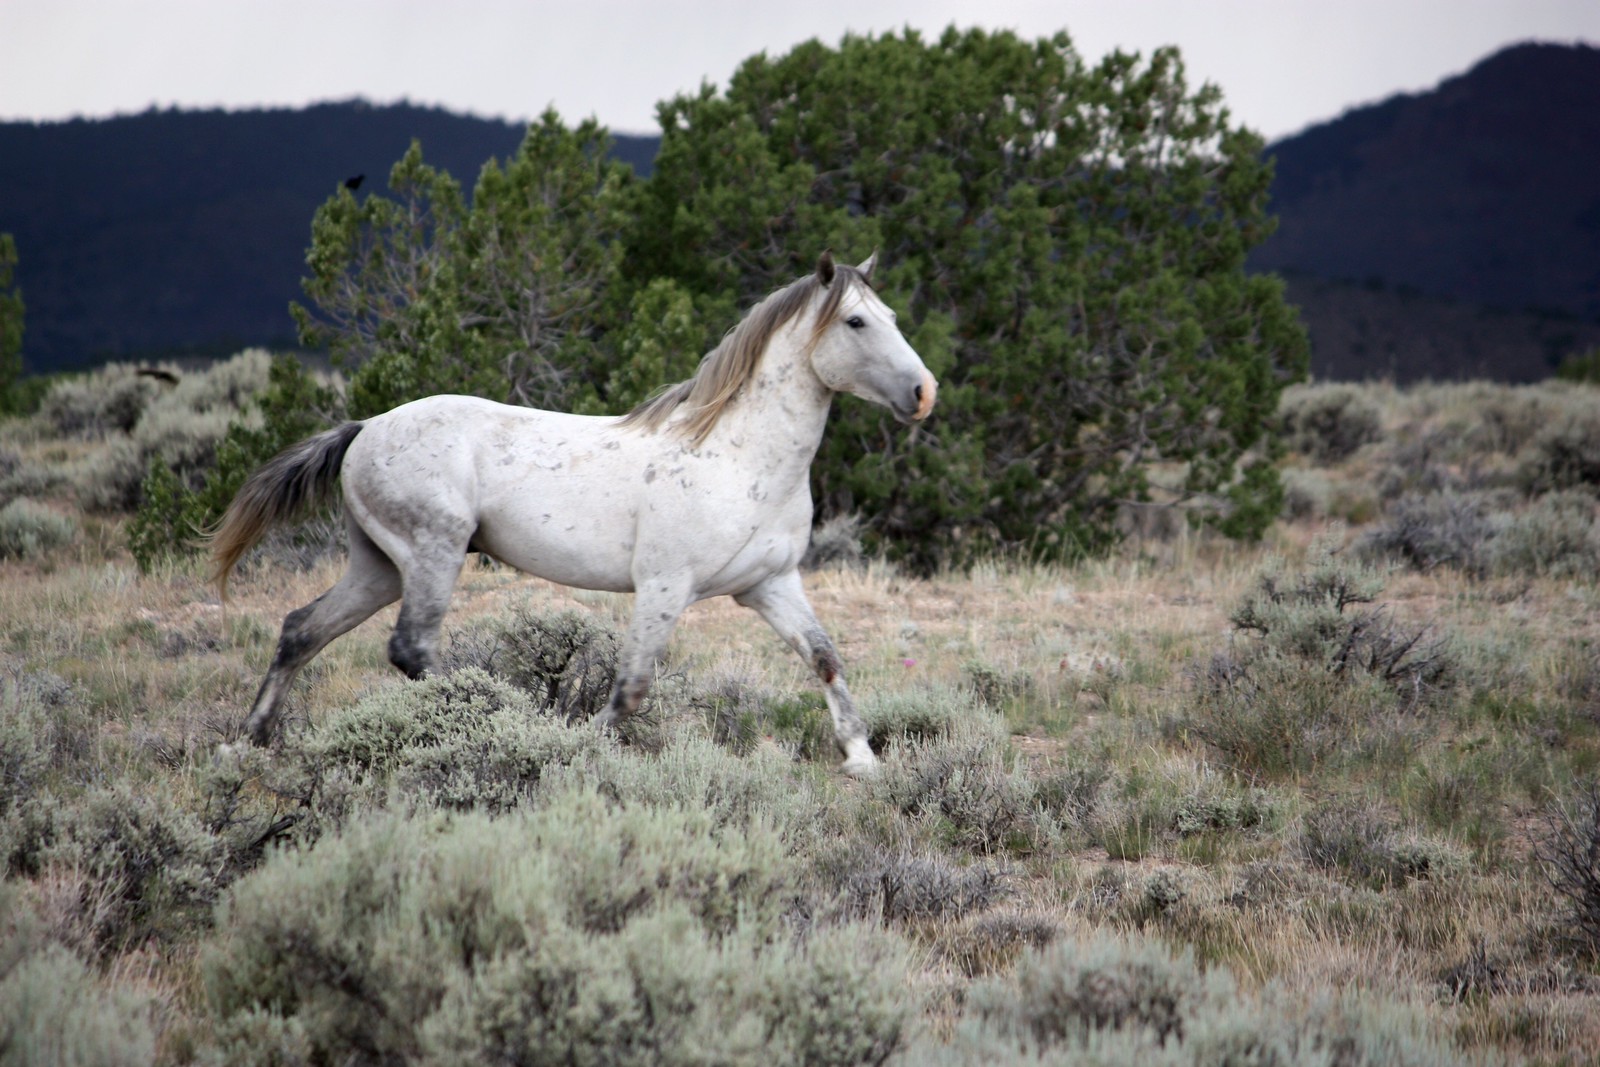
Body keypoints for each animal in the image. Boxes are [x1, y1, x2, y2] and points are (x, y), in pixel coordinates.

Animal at [210, 252, 936, 776]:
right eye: (856, 323)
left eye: (891, 313)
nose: (924, 393)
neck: (737, 455)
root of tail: (364, 429)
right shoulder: (665, 586)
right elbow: (632, 687)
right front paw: (584, 750)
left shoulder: (770, 584)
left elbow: (825, 656)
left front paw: (862, 759)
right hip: (431, 555)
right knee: (412, 650)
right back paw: (493, 721)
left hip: (379, 566)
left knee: (302, 630)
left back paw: (246, 744)